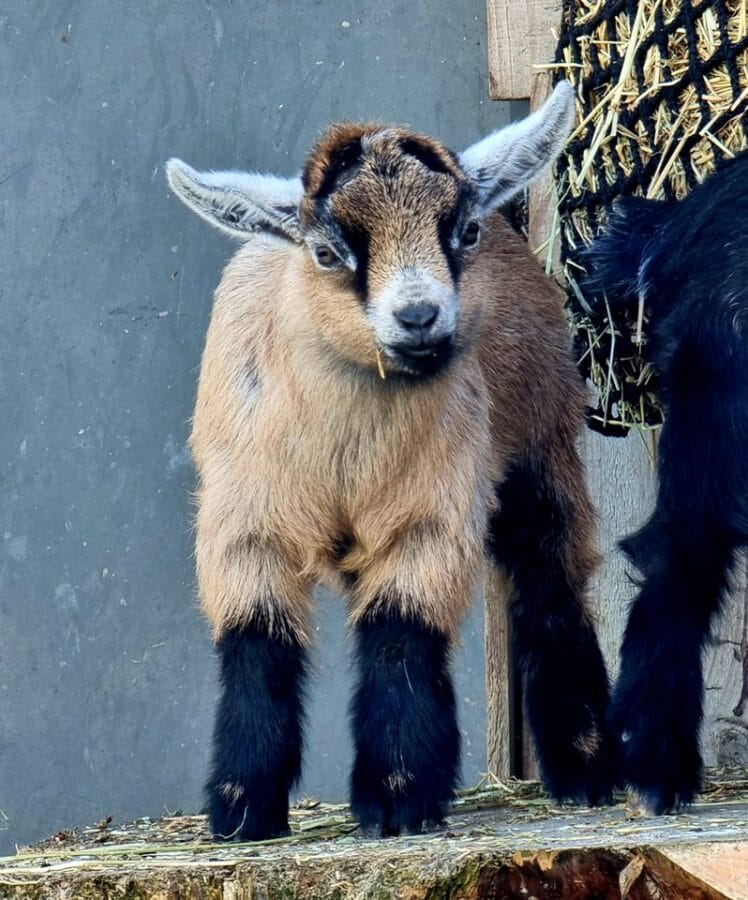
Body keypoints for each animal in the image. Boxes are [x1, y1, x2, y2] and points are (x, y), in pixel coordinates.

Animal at [166, 82, 613, 841]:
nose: (419, 316)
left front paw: (398, 798)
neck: (346, 458)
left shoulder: (430, 515)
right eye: (325, 252)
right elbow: (257, 641)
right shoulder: (244, 524)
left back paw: (587, 768)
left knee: (551, 581)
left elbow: (402, 632)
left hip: (542, 446)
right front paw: (242, 807)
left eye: (462, 232)